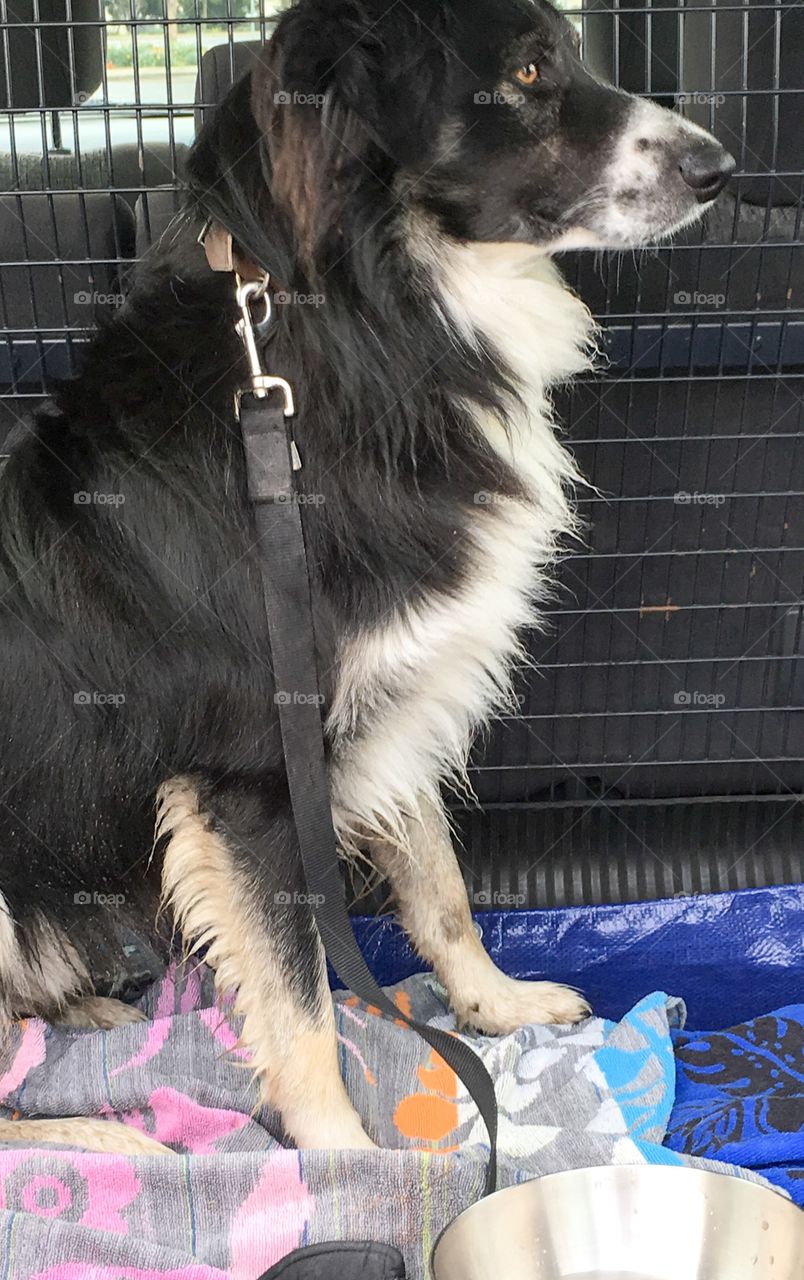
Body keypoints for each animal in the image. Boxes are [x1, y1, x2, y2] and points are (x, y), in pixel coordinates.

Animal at [0, 0, 732, 1152]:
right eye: (529, 73)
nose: (723, 168)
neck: (378, 319)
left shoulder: (399, 696)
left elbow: (441, 883)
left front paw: (495, 1005)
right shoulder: (248, 779)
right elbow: (296, 991)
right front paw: (341, 1158)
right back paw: (103, 1134)